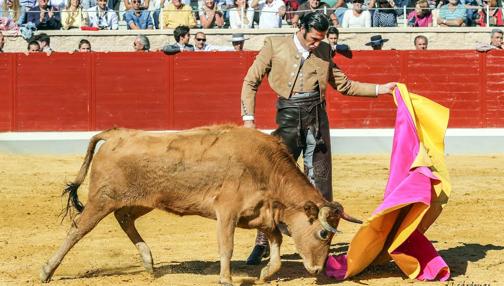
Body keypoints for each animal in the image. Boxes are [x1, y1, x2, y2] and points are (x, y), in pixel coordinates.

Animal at [41, 124, 360, 284]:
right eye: (323, 233)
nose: (317, 270)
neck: (265, 167)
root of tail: (115, 134)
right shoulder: (227, 211)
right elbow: (227, 246)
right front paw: (226, 279)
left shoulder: (263, 214)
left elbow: (277, 243)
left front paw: (265, 274)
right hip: (101, 199)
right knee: (77, 230)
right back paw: (47, 271)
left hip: (146, 199)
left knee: (125, 219)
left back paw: (149, 262)